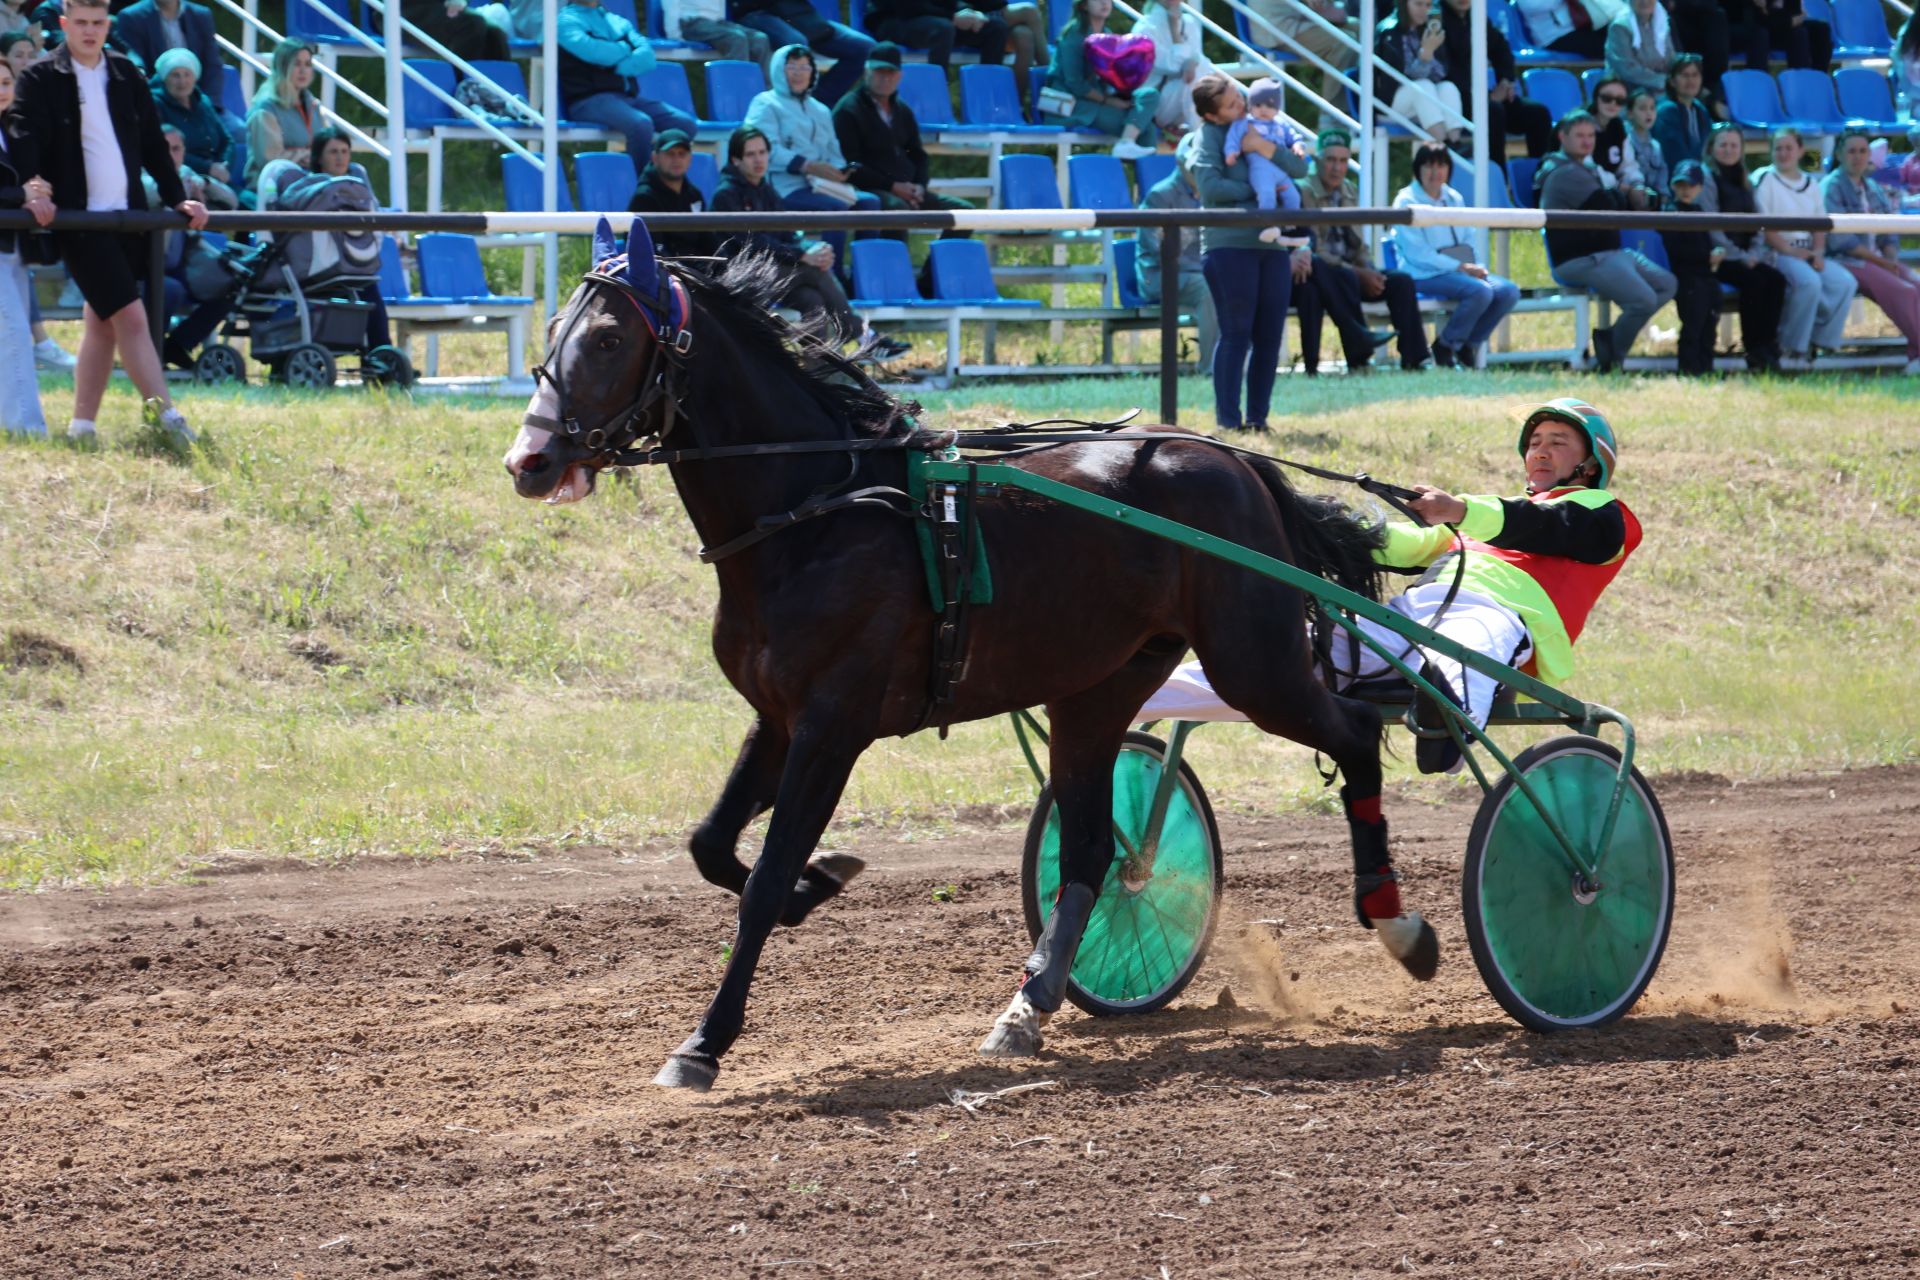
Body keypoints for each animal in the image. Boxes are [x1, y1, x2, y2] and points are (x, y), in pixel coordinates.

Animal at [503, 217, 1436, 1090]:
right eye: (552, 328)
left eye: (609, 339)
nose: (529, 460)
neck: (817, 512)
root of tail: (1232, 460)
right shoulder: (777, 717)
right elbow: (710, 844)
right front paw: (821, 881)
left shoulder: (833, 727)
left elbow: (765, 874)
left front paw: (705, 1040)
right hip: (1098, 687)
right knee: (1092, 848)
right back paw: (1029, 1005)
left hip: (1254, 664)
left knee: (1354, 733)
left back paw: (1400, 925)